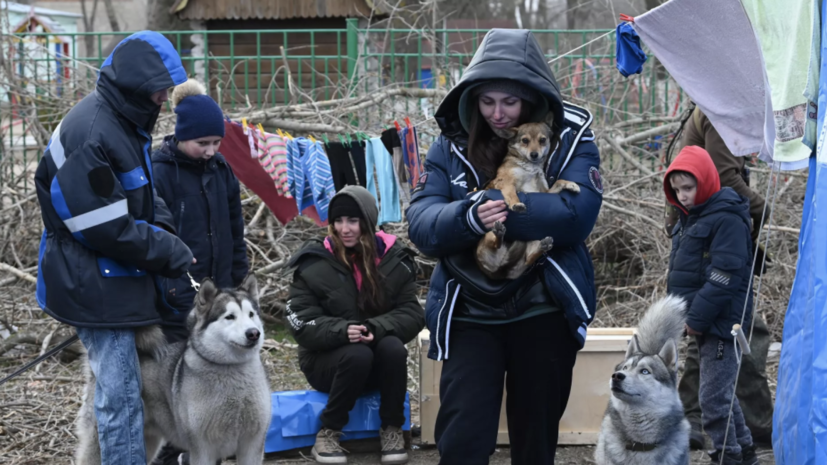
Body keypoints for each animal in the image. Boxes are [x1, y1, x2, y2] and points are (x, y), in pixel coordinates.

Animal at [76, 274, 274, 462]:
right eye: (229, 317)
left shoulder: (253, 445)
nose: (253, 333)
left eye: (251, 314)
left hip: (149, 443)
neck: (231, 369)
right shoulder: (203, 450)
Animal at [478, 118, 584, 280]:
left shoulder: (544, 192)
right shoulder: (506, 182)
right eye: (525, 140)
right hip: (488, 236)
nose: (534, 154)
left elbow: (559, 182)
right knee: (496, 243)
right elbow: (512, 194)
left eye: (542, 140)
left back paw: (543, 246)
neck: (530, 168)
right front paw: (516, 204)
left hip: (532, 241)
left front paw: (571, 184)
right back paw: (500, 233)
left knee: (529, 259)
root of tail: (501, 270)